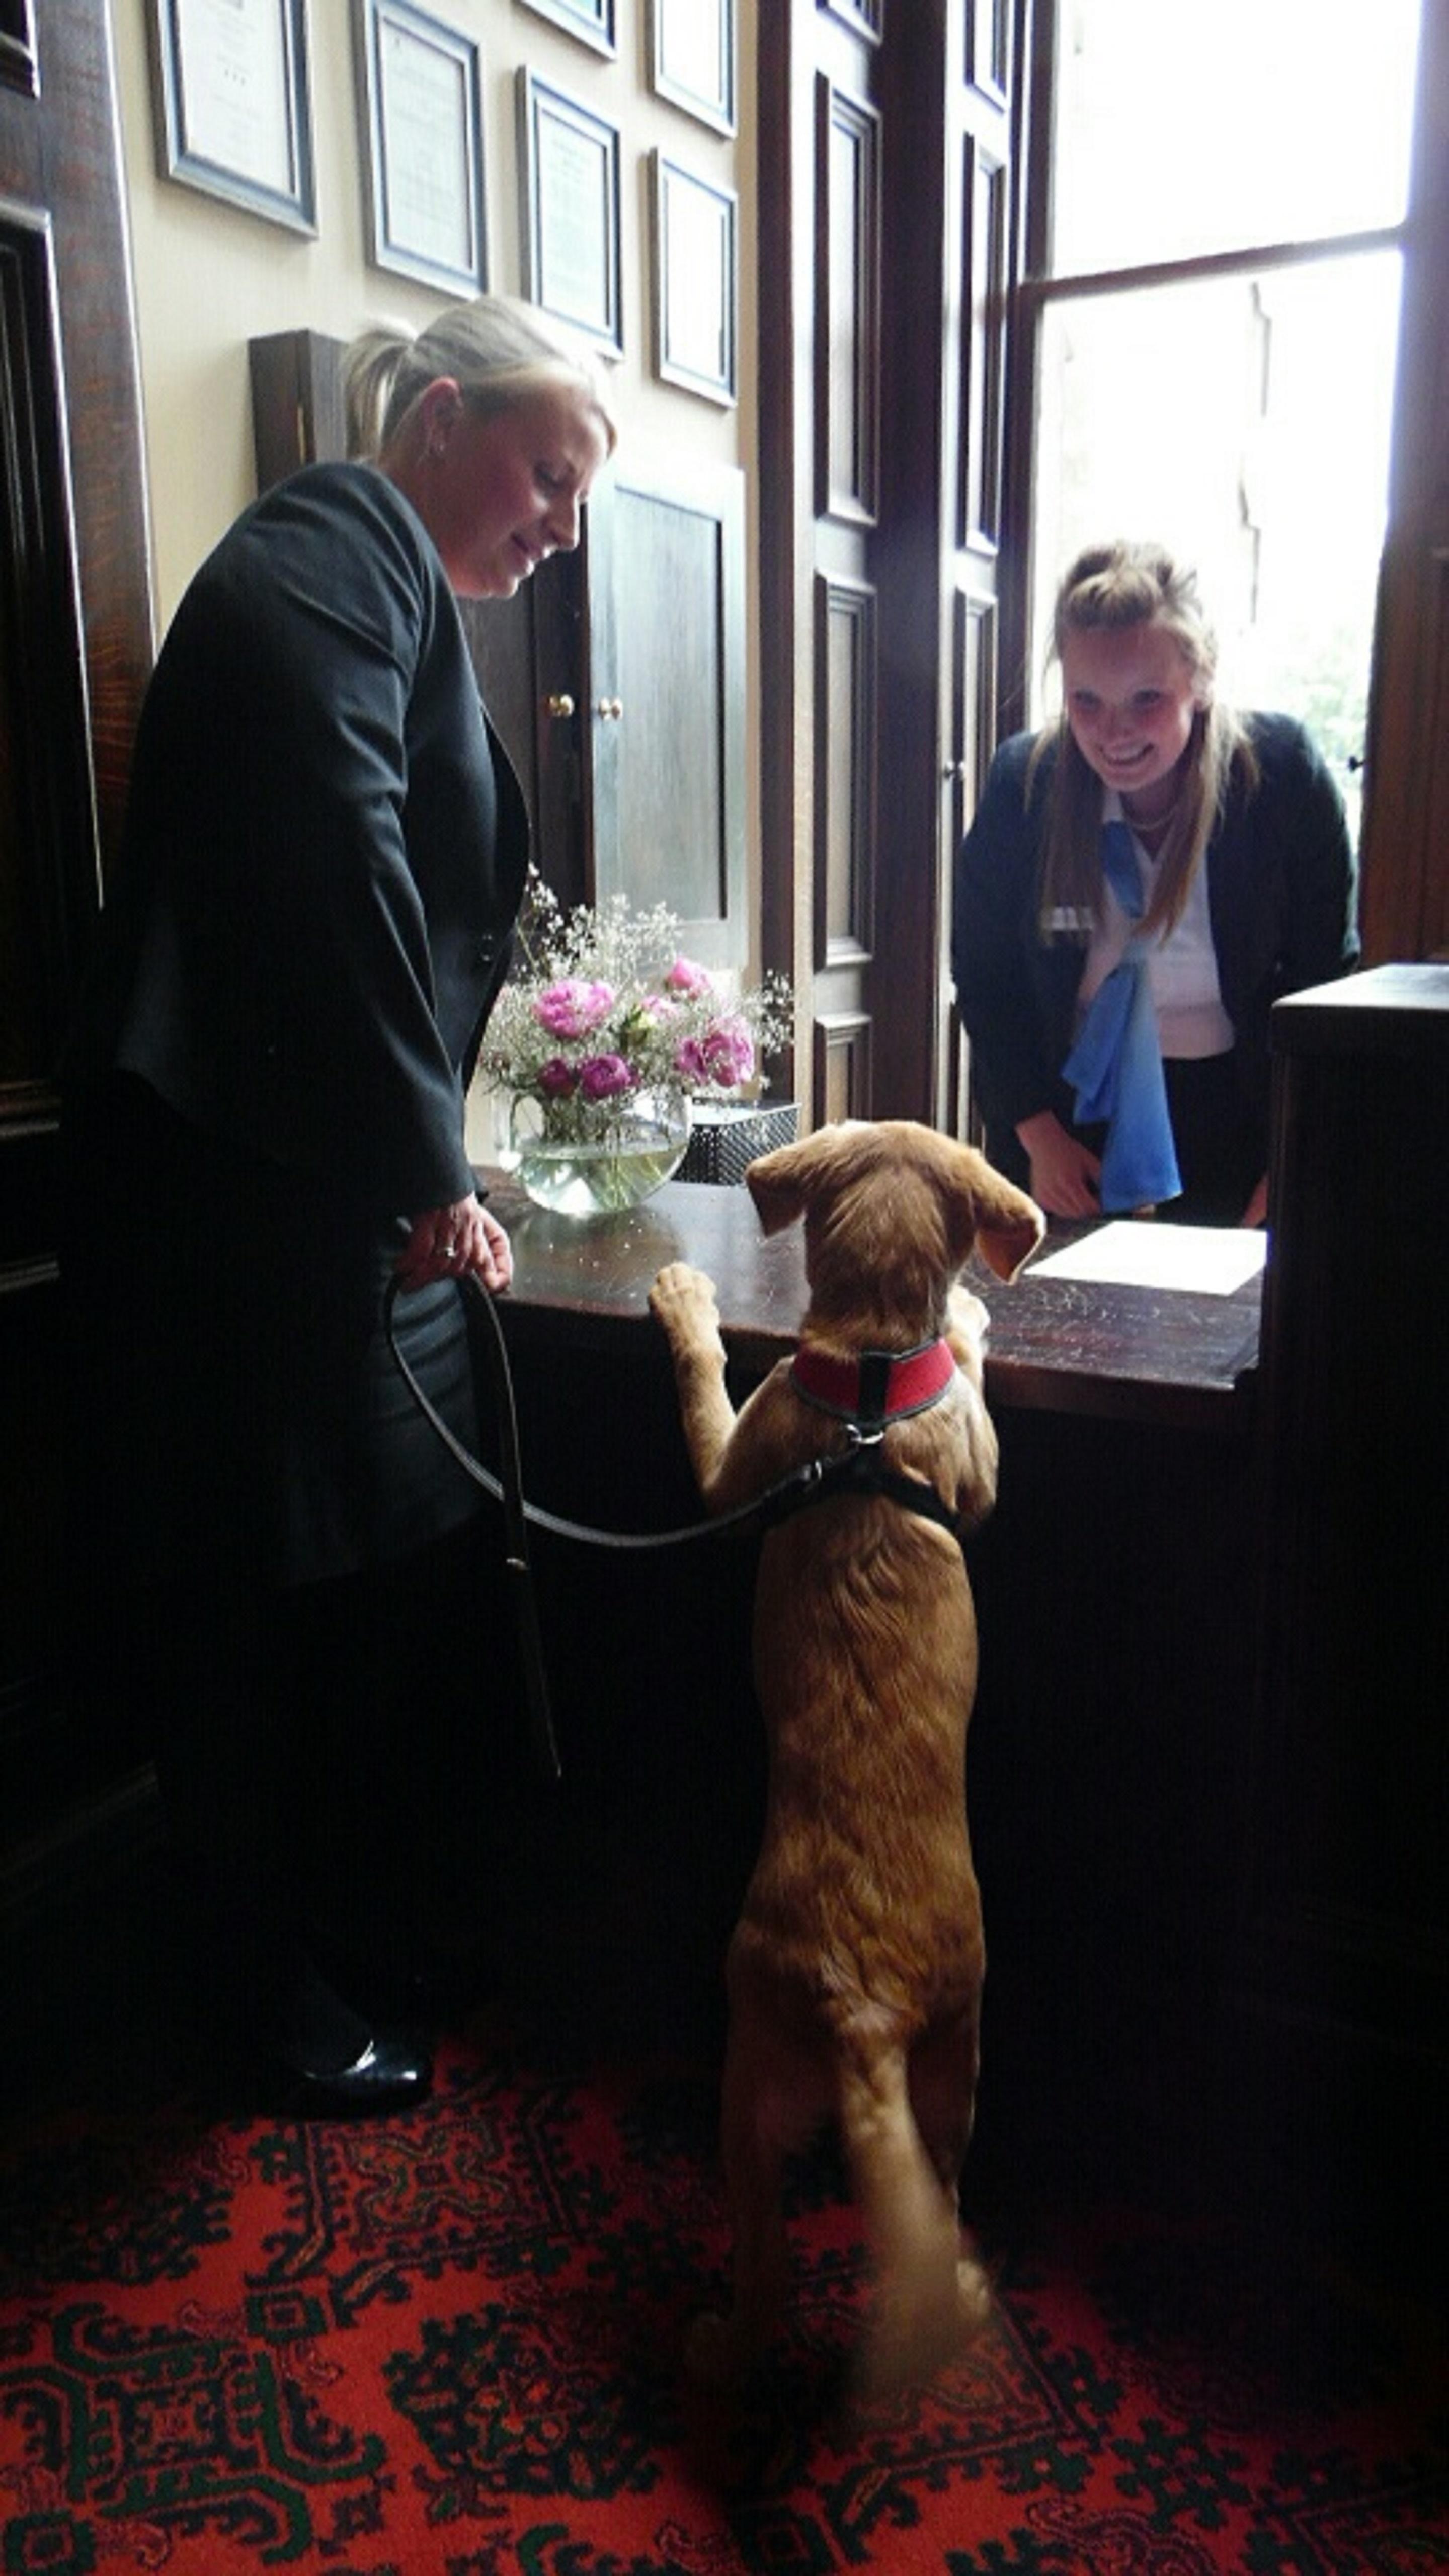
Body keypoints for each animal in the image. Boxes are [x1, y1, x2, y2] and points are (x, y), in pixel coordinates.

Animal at [645, 1118, 1036, 2400]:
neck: (870, 1372)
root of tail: (862, 2004)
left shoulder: (734, 1461)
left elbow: (702, 1383)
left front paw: (684, 1299)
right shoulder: (972, 1455)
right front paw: (963, 1325)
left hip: (762, 2083)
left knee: (773, 2266)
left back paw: (725, 2345)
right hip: (951, 2069)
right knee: (930, 2198)